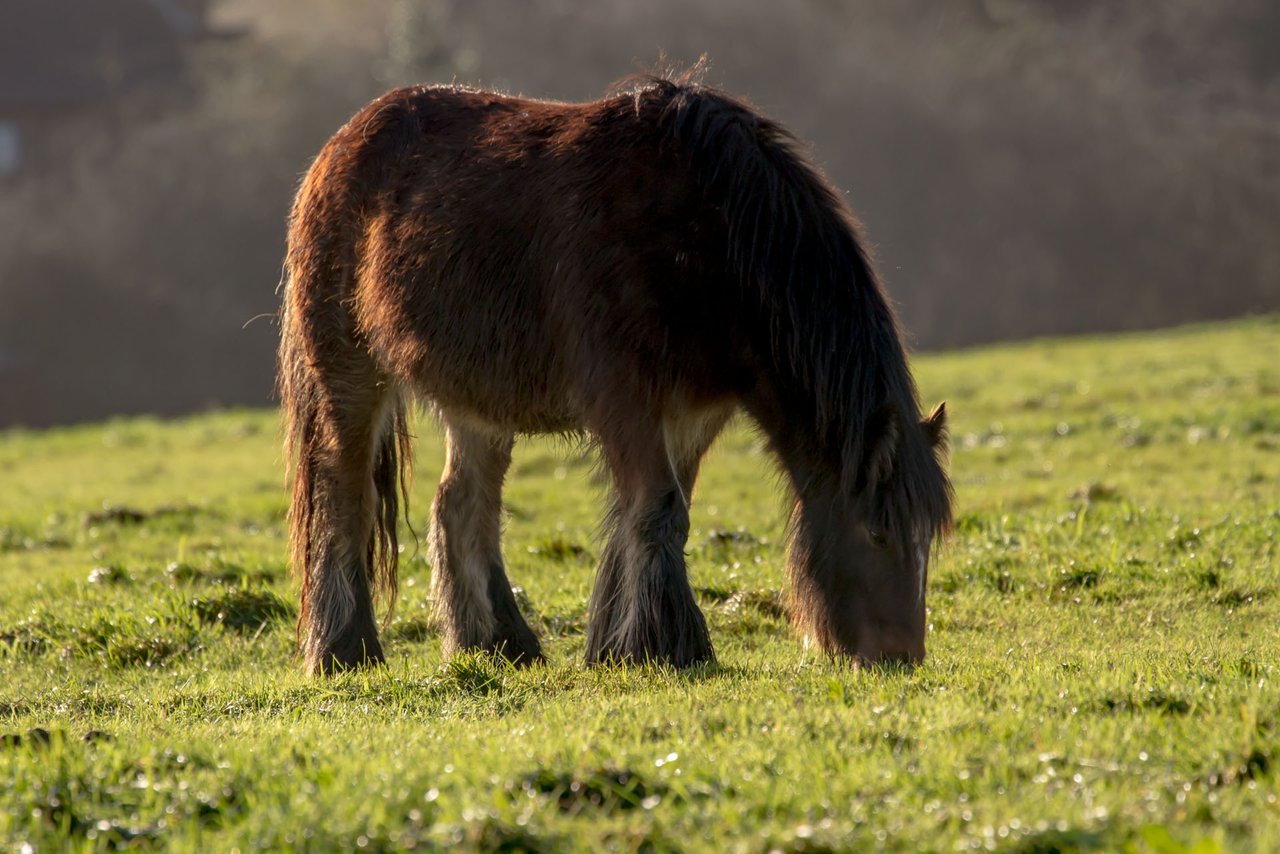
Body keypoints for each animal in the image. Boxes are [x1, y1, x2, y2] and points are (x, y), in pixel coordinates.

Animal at [277, 72, 953, 676]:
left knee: (460, 507)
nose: (901, 657)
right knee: (345, 498)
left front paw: (615, 643)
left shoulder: (692, 412)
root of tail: (339, 146)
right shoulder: (624, 399)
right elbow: (658, 508)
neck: (707, 234)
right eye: (877, 533)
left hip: (477, 402)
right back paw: (344, 650)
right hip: (349, 375)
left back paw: (496, 644)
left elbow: (648, 512)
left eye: (927, 539)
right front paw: (669, 647)